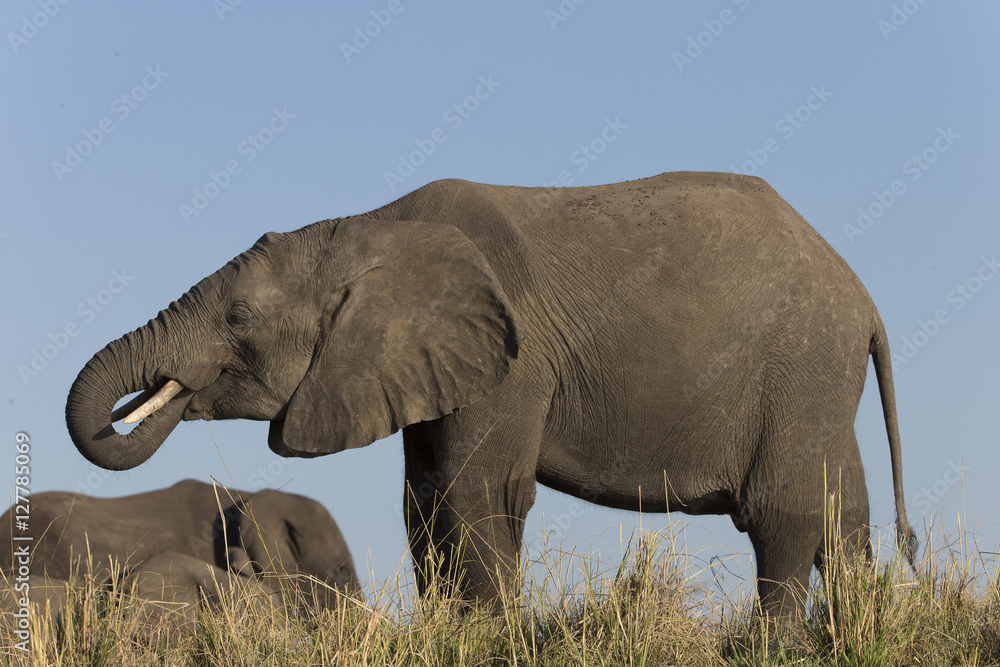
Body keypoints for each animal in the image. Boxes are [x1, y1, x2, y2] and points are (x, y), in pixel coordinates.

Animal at [65, 172, 916, 622]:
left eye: (239, 318)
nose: (132, 407)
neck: (370, 226)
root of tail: (865, 297)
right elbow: (425, 500)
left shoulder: (512, 358)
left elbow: (480, 492)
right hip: (817, 386)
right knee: (845, 513)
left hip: (800, 367)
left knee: (781, 513)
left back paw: (772, 643)